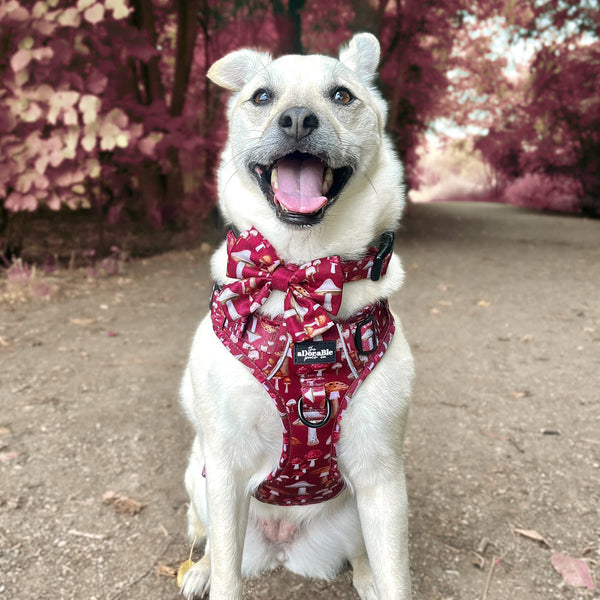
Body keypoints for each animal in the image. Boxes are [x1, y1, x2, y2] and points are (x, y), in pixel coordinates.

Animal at [178, 34, 412, 600]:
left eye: (342, 96)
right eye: (262, 97)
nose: (299, 119)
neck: (302, 273)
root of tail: (283, 545)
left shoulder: (382, 478)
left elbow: (396, 575)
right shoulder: (224, 467)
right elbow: (227, 577)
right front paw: (211, 575)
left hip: (358, 513)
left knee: (363, 558)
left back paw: (364, 578)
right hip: (198, 479)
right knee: (213, 545)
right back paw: (198, 569)